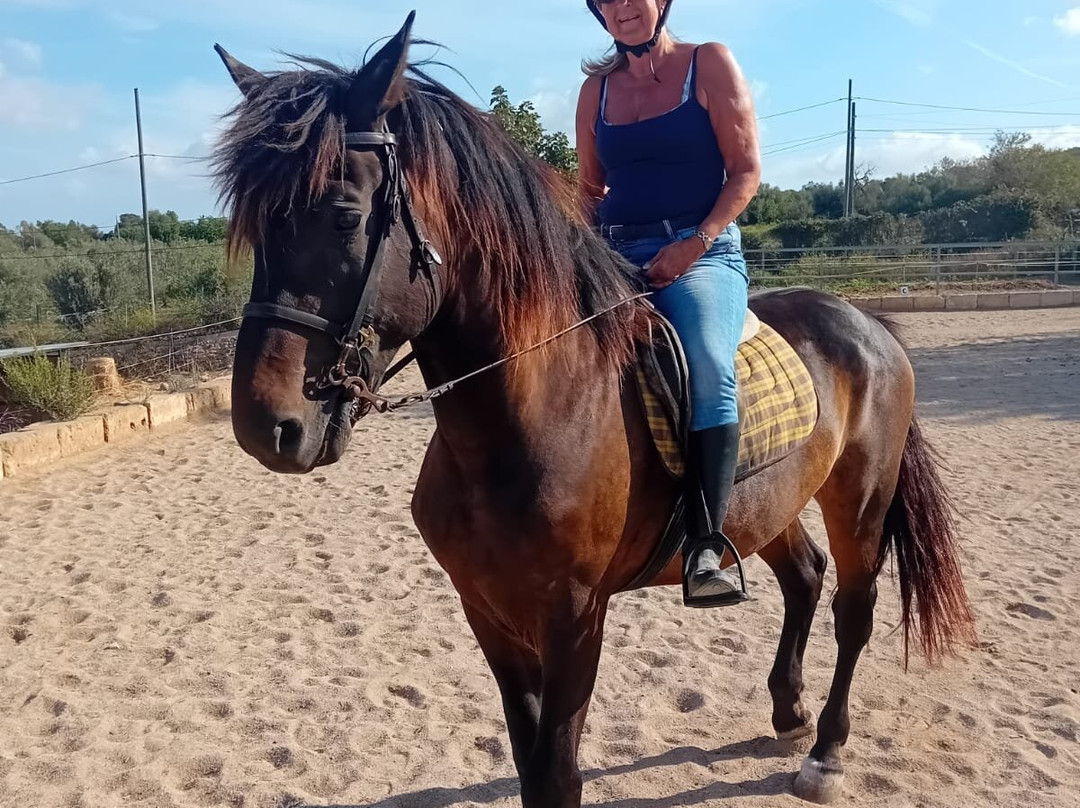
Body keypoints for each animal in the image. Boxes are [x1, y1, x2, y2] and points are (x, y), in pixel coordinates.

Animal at [214, 14, 975, 806]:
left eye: (344, 217)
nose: (265, 427)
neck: (527, 420)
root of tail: (865, 323)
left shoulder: (575, 617)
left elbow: (558, 773)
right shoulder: (486, 610)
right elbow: (529, 763)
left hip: (860, 496)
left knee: (854, 607)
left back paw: (825, 751)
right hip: (768, 503)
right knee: (804, 576)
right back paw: (789, 712)